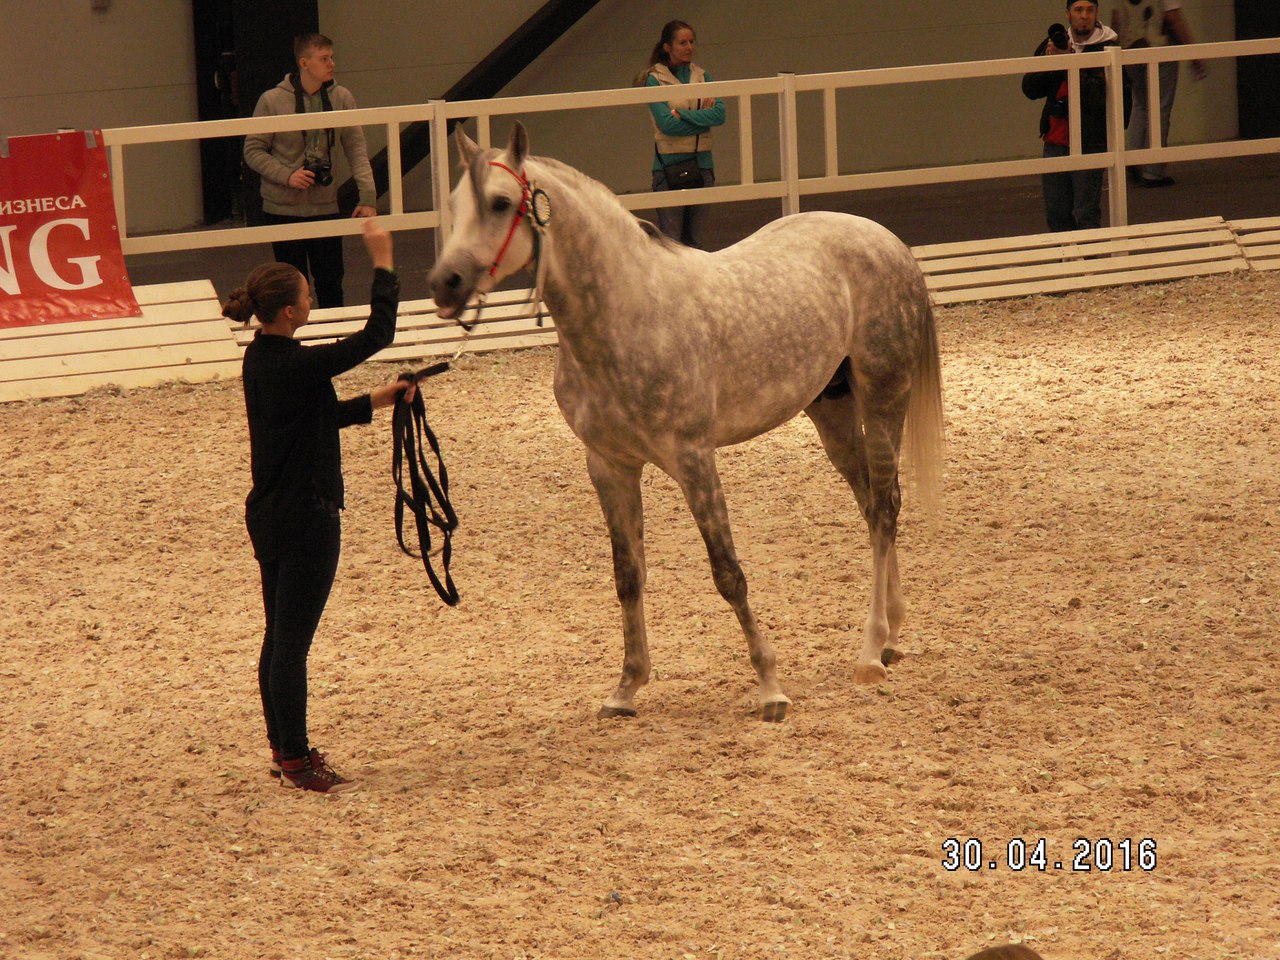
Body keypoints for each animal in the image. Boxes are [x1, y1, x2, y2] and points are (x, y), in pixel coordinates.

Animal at [429, 122, 943, 722]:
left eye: (500, 202)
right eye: (455, 204)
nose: (444, 283)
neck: (627, 315)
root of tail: (889, 241)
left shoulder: (693, 459)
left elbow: (728, 573)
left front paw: (770, 687)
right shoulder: (609, 466)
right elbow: (628, 575)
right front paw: (626, 687)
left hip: (884, 395)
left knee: (885, 509)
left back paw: (869, 651)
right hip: (831, 408)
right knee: (870, 505)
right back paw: (891, 637)